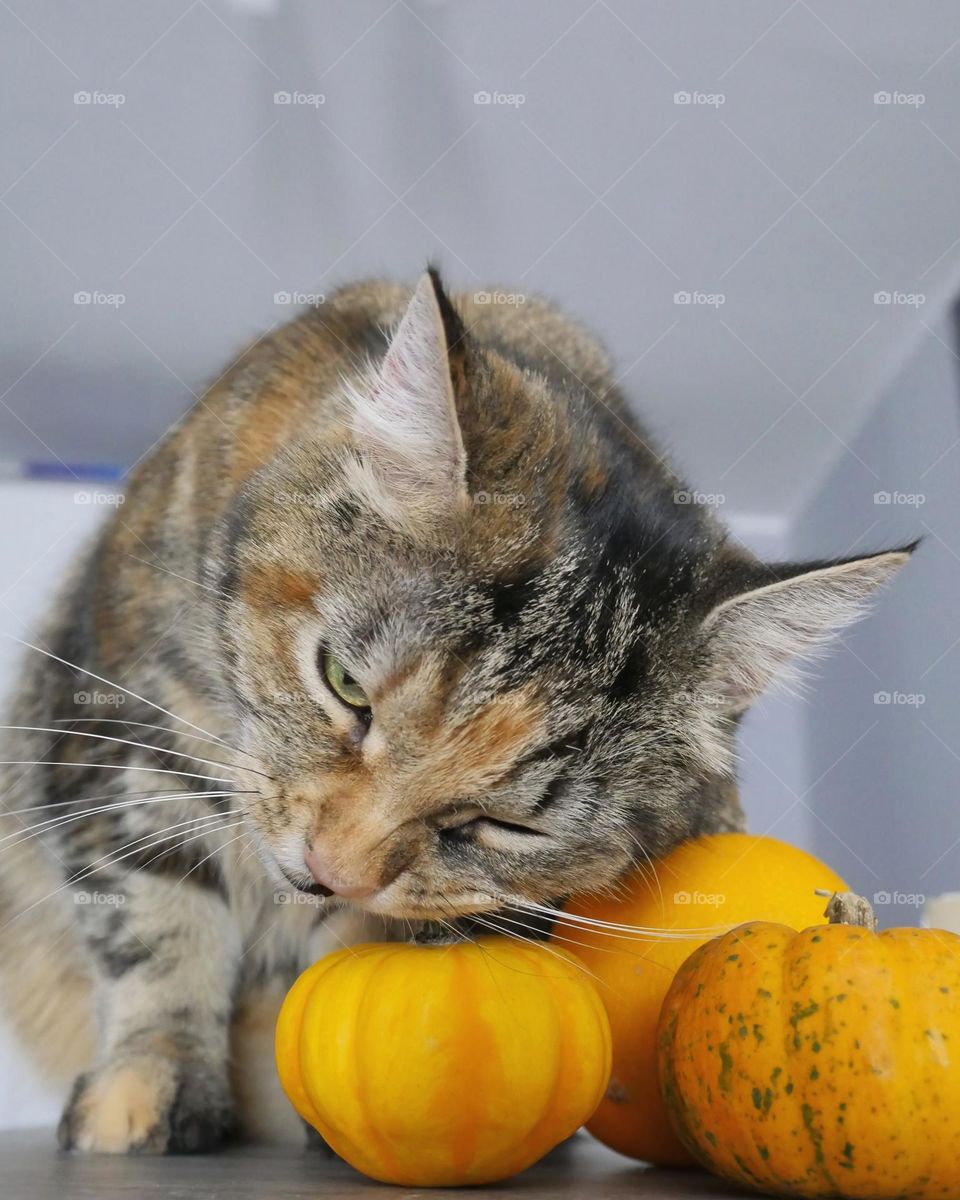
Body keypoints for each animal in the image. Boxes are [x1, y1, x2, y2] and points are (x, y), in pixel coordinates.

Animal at [0, 272, 907, 1152]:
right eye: (345, 683)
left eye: (508, 825)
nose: (330, 869)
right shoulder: (120, 726)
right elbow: (157, 918)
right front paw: (149, 1081)